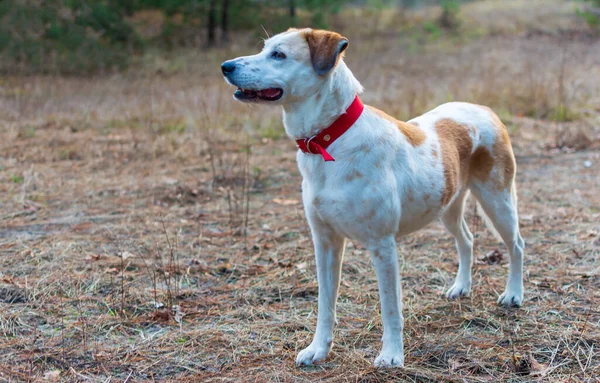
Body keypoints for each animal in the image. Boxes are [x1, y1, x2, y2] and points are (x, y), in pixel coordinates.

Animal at [221, 28, 524, 368]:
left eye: (279, 55)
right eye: (264, 49)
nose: (226, 66)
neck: (329, 141)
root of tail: (485, 109)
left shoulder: (383, 246)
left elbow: (390, 308)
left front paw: (391, 355)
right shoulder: (324, 242)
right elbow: (326, 304)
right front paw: (318, 349)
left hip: (497, 201)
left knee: (516, 245)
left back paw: (513, 294)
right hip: (447, 205)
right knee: (467, 240)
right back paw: (461, 287)